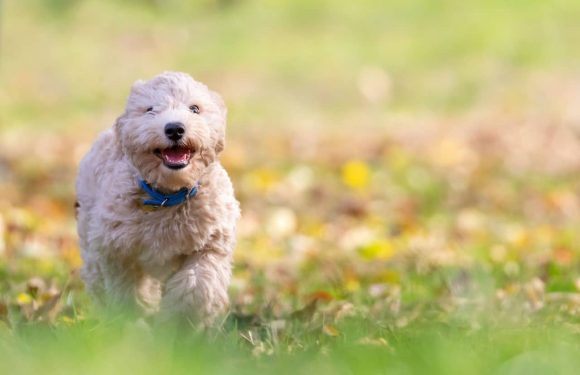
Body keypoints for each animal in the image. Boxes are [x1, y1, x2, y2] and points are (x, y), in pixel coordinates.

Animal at [76, 71, 240, 326]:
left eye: (194, 108)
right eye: (150, 109)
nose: (174, 128)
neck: (168, 195)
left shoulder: (211, 244)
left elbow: (197, 285)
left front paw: (178, 324)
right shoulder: (117, 250)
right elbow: (128, 292)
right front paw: (135, 323)